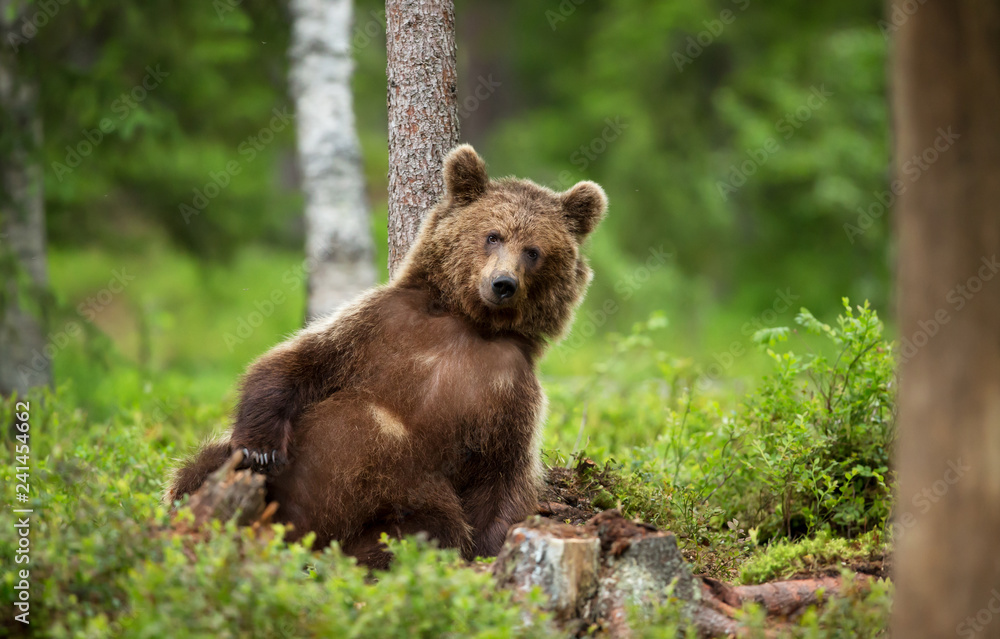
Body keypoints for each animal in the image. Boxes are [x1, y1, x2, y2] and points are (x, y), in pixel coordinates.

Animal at [167, 144, 607, 568]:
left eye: (534, 251)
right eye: (493, 235)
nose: (503, 284)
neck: (469, 325)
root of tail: (302, 535)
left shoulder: (508, 387)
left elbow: (504, 473)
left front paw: (489, 548)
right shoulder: (379, 326)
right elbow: (294, 364)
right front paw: (262, 446)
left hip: (410, 494)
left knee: (427, 528)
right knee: (203, 468)